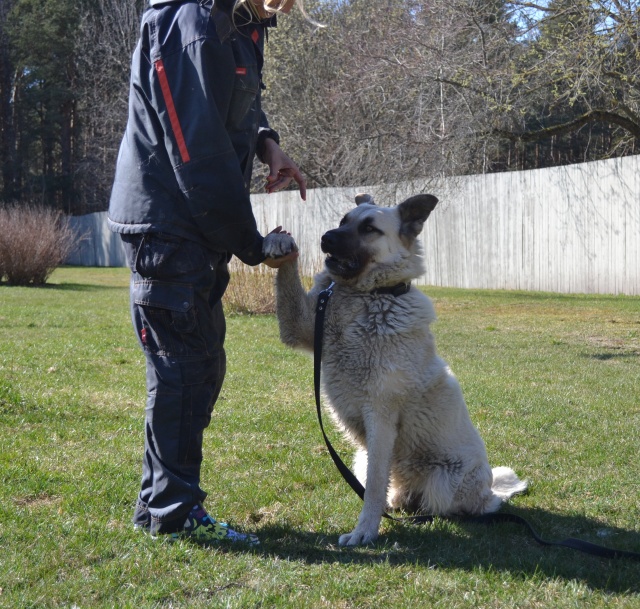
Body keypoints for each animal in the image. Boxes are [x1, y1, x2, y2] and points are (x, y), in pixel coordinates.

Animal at [263, 193, 527, 546]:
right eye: (344, 220)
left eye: (369, 228)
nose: (325, 238)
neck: (367, 295)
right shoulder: (301, 326)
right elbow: (288, 281)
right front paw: (280, 244)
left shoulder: (380, 416)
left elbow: (375, 485)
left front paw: (364, 531)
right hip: (361, 458)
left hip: (443, 482)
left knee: (465, 506)